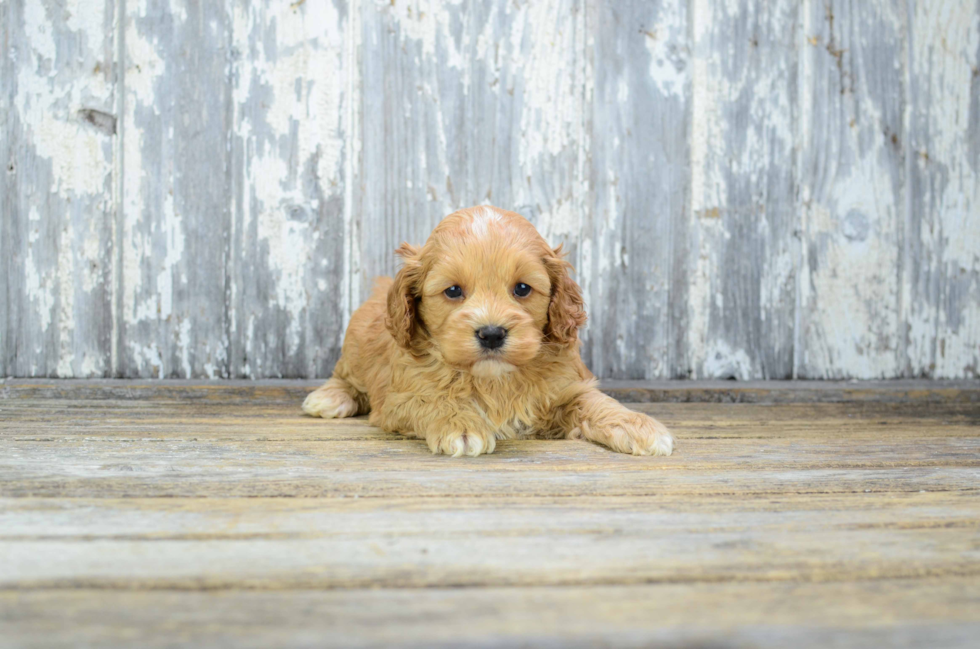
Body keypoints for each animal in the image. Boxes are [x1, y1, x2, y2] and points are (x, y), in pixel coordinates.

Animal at [304, 206, 672, 456]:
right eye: (453, 291)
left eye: (522, 288)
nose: (492, 334)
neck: (493, 377)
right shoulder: (399, 398)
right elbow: (432, 399)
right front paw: (461, 424)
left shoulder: (567, 387)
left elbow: (595, 401)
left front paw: (638, 425)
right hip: (354, 348)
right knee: (346, 377)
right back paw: (330, 398)